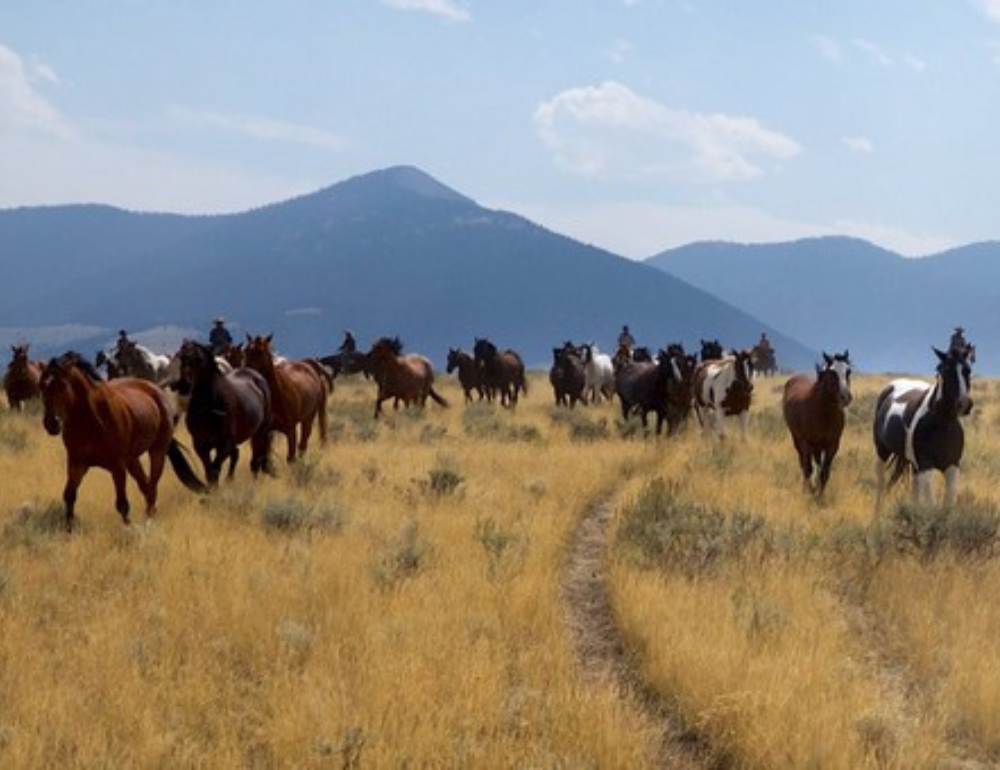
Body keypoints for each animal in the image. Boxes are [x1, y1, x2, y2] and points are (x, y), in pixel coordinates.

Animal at [38, 352, 207, 528]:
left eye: (62, 385)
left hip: (157, 451)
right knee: (145, 485)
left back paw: (150, 518)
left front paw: (128, 526)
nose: (51, 424)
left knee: (152, 486)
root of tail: (156, 390)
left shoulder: (117, 466)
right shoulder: (77, 463)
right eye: (41, 386)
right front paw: (69, 528)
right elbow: (69, 495)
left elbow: (122, 504)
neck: (92, 421)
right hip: (132, 459)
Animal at [178, 340, 274, 484]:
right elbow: (209, 471)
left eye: (198, 359)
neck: (209, 408)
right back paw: (230, 480)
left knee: (256, 460)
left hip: (260, 432)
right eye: (181, 357)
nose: (184, 385)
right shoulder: (200, 444)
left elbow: (215, 469)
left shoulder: (224, 444)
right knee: (237, 455)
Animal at [243, 332, 330, 462]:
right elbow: (260, 458)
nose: (245, 371)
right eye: (246, 350)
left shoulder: (290, 429)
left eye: (260, 351)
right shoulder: (261, 433)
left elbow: (290, 457)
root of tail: (310, 366)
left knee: (303, 443)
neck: (276, 396)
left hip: (308, 417)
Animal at [780, 352, 852, 496]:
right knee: (804, 464)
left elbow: (825, 472)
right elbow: (811, 468)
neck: (824, 413)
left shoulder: (832, 445)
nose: (845, 397)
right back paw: (807, 487)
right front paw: (813, 491)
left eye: (848, 371)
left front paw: (820, 494)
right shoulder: (811, 443)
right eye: (832, 373)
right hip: (798, 440)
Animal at [872, 346, 972, 504]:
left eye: (968, 370)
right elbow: (932, 503)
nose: (964, 404)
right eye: (946, 371)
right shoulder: (926, 466)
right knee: (881, 486)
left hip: (911, 464)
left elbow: (948, 503)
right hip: (882, 452)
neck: (942, 424)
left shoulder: (952, 466)